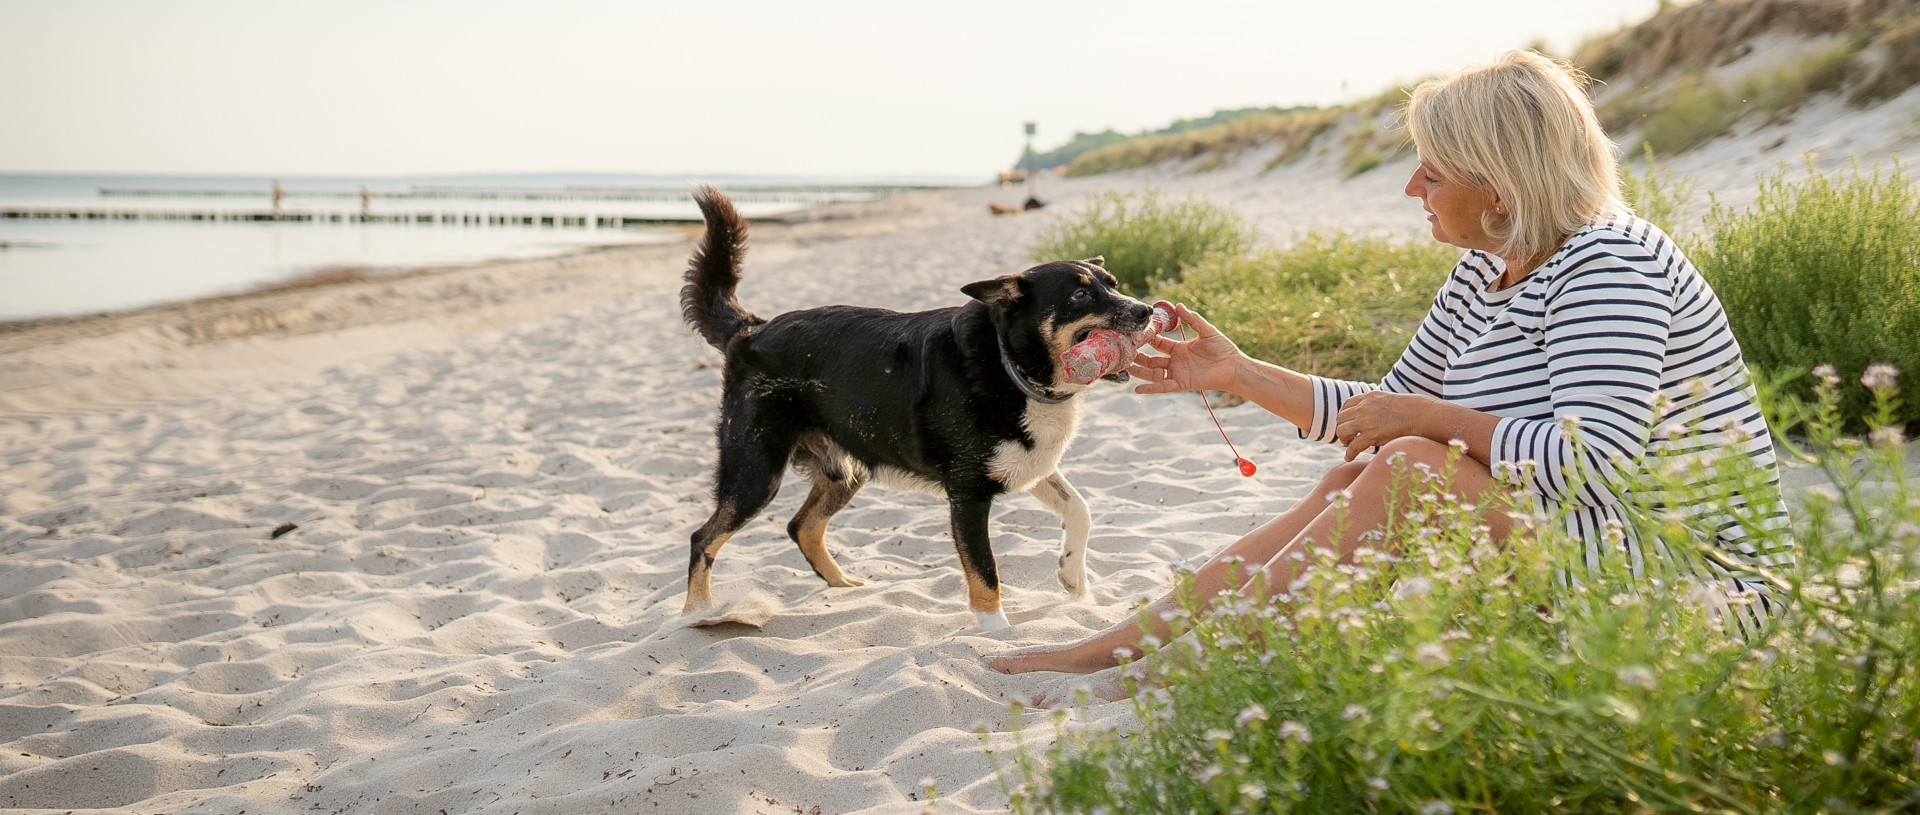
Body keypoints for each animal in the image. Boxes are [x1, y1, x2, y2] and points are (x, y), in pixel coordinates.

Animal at [679, 186, 1152, 630]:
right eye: (1079, 295)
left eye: (1112, 284)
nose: (1146, 310)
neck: (1008, 364)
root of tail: (750, 330)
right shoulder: (967, 494)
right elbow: (985, 572)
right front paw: (997, 632)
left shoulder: (1030, 465)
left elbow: (1081, 510)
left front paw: (1074, 579)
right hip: (756, 473)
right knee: (703, 538)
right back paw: (697, 614)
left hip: (847, 467)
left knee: (802, 526)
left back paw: (843, 584)